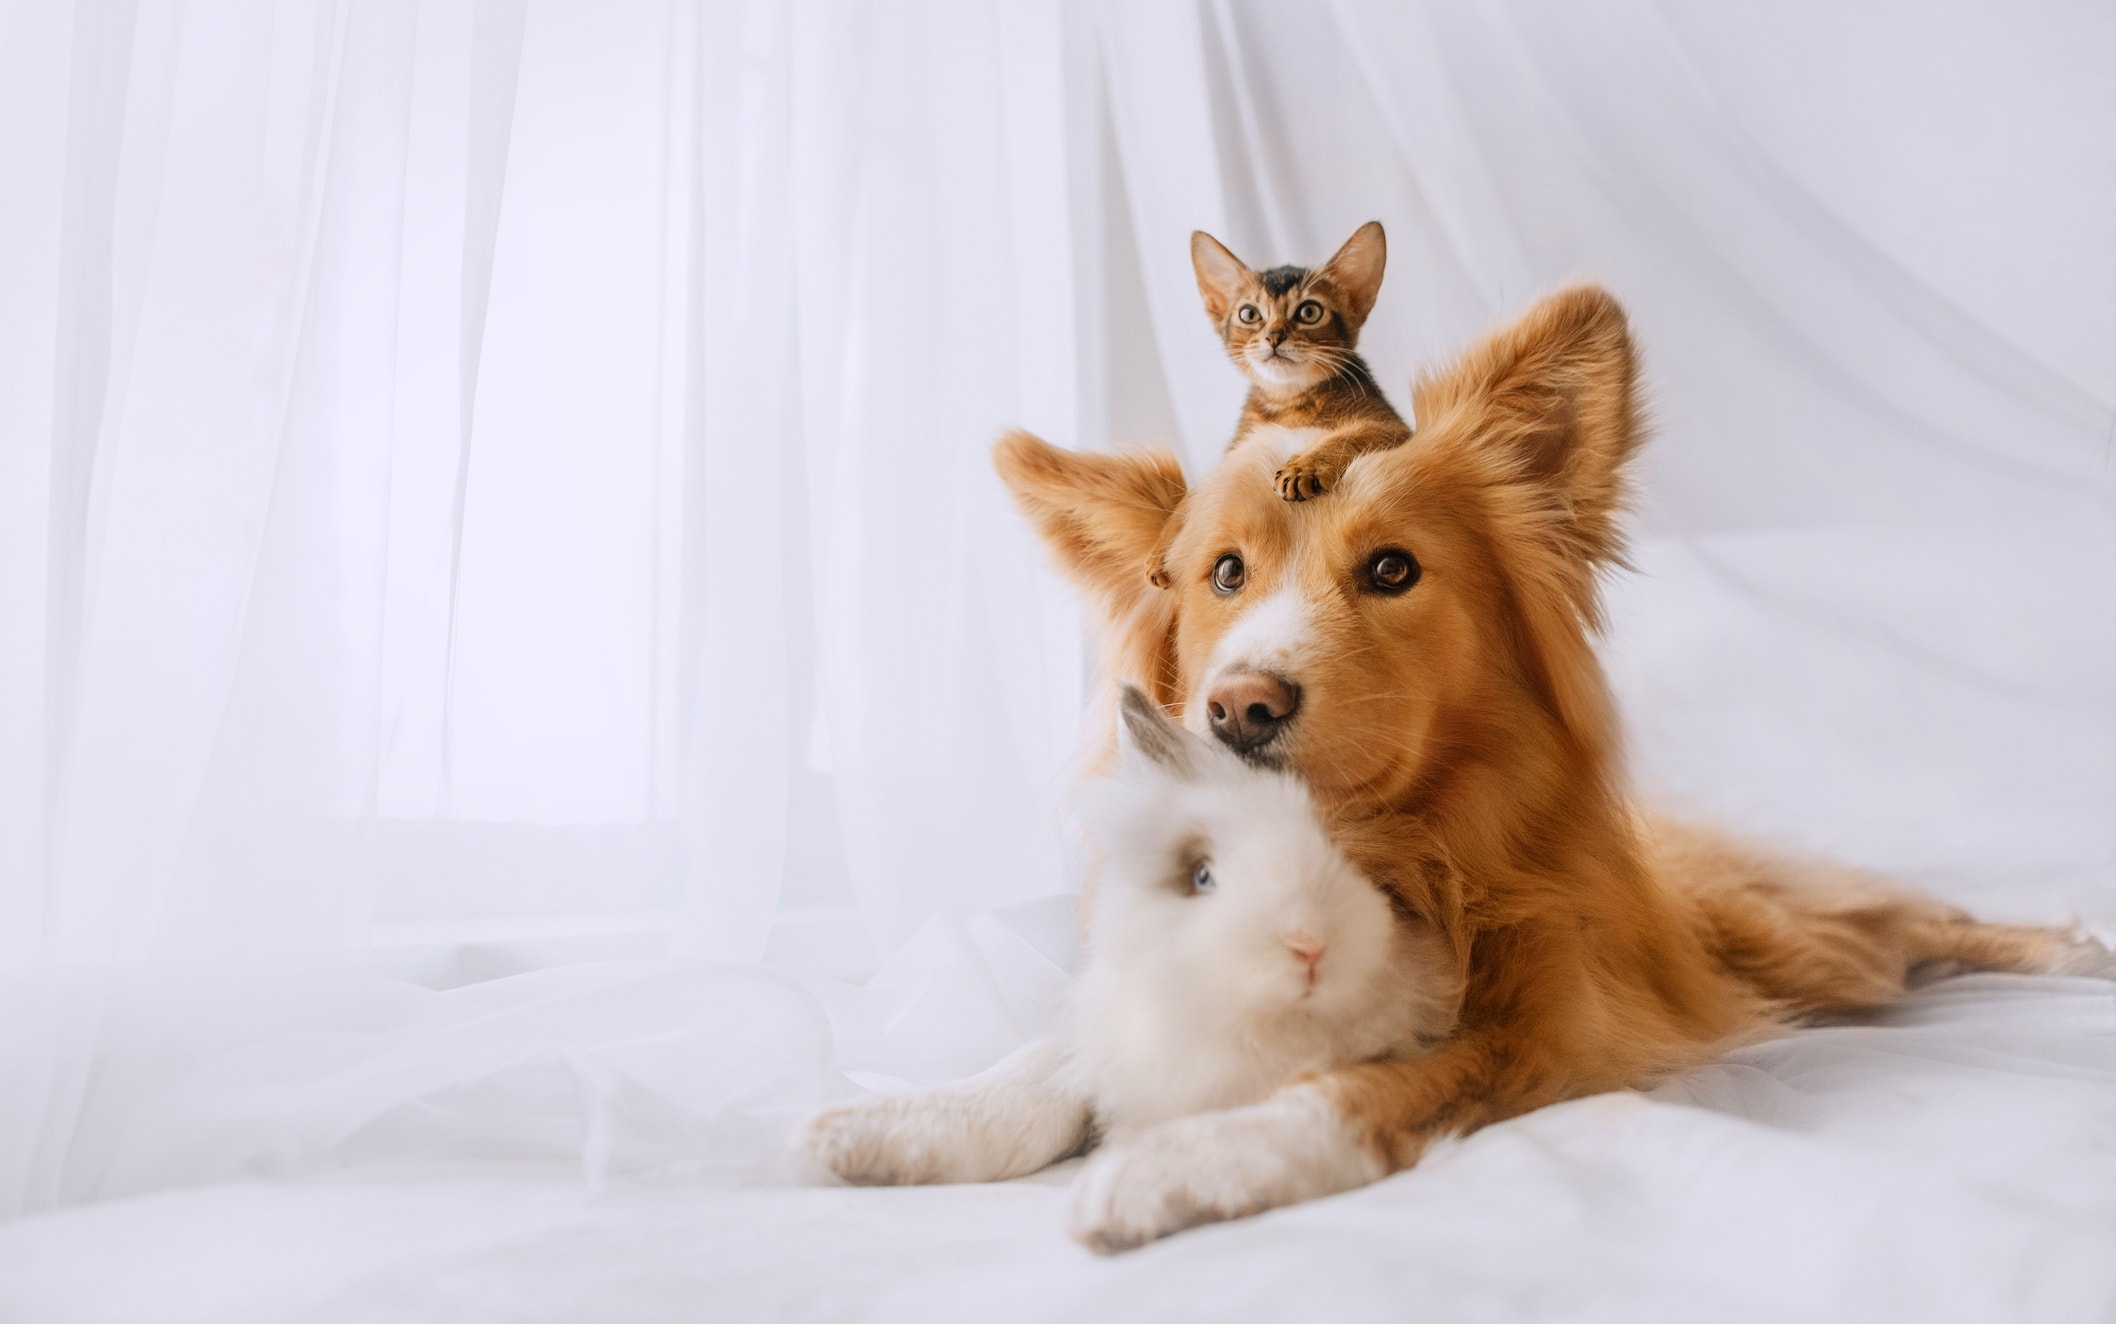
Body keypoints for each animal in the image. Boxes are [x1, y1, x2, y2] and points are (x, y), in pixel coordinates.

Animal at [1193, 218, 1405, 503]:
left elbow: (1353, 435)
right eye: (1249, 314)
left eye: (1309, 312)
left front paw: (1305, 466)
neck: (1288, 401)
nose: (1274, 336)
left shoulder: (1396, 427)